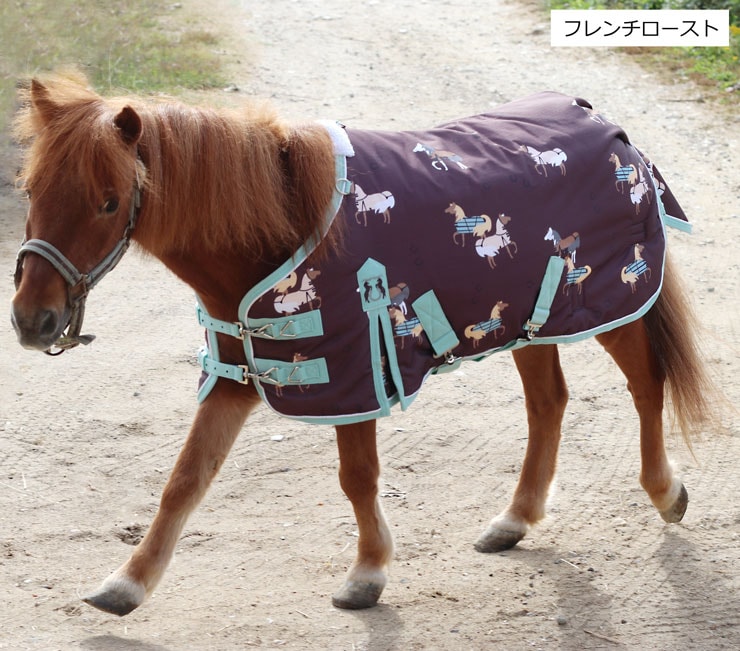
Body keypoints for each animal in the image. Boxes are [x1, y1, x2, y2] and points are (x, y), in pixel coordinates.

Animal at [10, 74, 715, 618]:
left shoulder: (353, 378)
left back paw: (665, 492)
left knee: (646, 385)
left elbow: (357, 477)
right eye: (32, 189)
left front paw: (367, 575)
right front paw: (126, 585)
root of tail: (607, 127)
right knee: (548, 405)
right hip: (530, 321)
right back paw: (514, 520)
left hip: (611, 308)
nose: (31, 321)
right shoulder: (242, 373)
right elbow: (185, 480)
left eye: (108, 202)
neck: (279, 227)